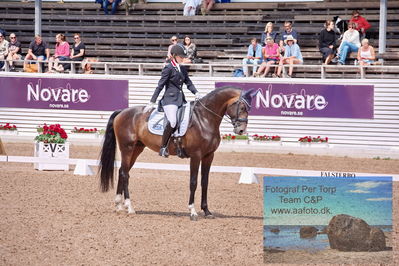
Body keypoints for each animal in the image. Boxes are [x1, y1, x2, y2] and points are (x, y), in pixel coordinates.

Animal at [100, 87, 256, 220]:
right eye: (242, 107)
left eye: (248, 108)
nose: (241, 130)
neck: (204, 119)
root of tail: (122, 111)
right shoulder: (196, 156)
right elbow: (193, 182)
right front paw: (192, 212)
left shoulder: (208, 156)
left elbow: (204, 182)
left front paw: (207, 211)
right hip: (127, 148)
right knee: (125, 174)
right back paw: (130, 207)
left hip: (136, 149)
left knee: (122, 171)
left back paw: (119, 206)